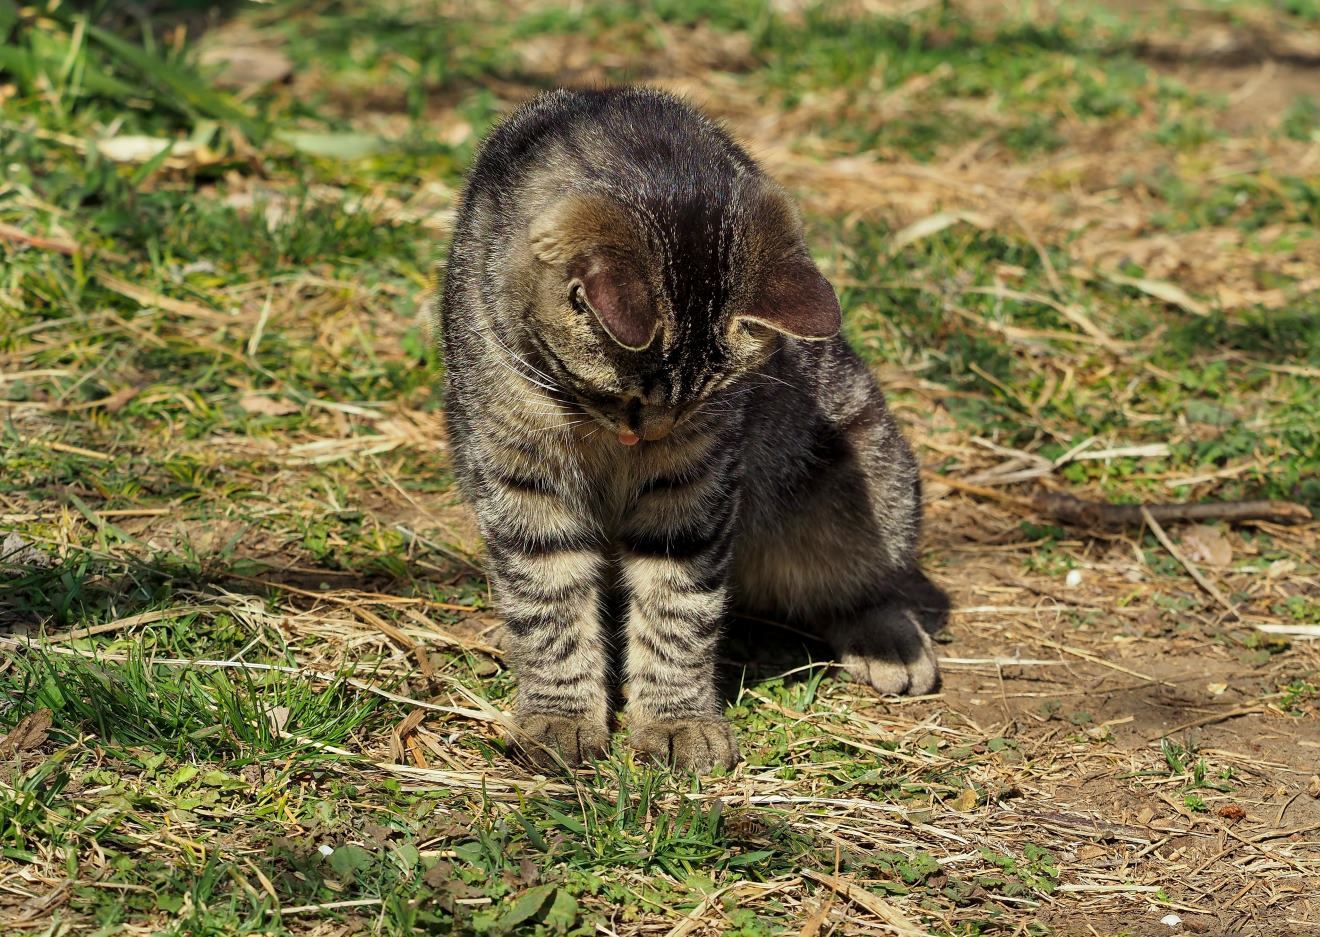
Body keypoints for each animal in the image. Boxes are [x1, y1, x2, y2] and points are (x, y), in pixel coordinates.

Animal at [438, 88, 945, 775]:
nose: (648, 436)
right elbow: (548, 602)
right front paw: (559, 712)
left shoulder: (695, 483)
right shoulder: (519, 476)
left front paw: (677, 720)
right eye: (622, 399)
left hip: (869, 475)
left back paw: (889, 643)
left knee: (866, 582)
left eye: (701, 401)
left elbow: (677, 608)